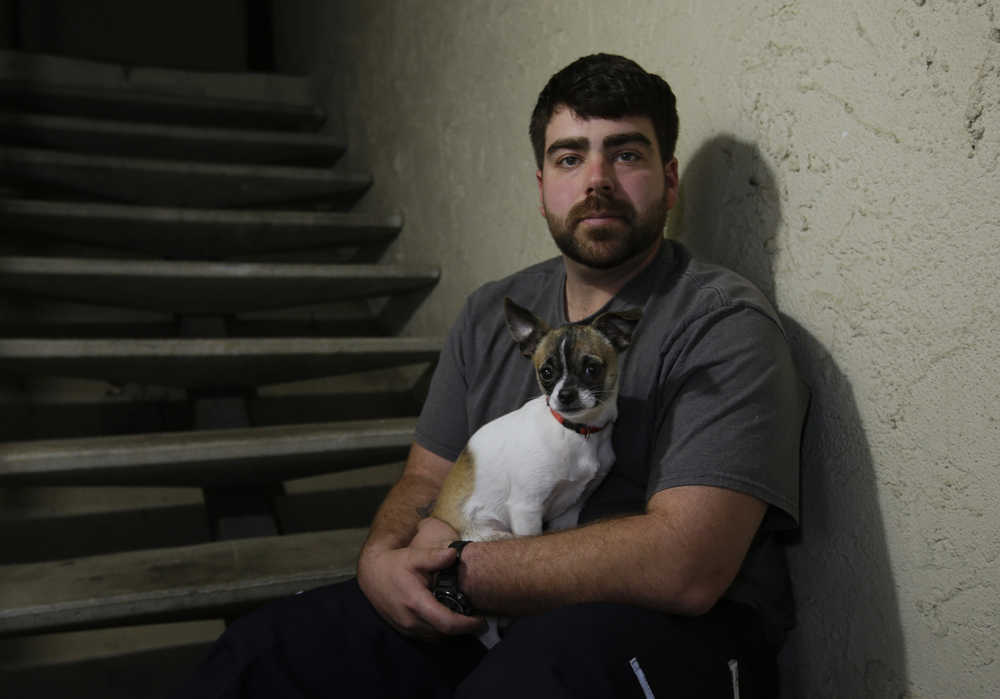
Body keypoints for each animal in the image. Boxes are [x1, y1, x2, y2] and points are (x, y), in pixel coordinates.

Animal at [432, 298, 640, 544]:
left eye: (592, 369)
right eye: (546, 373)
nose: (565, 395)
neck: (575, 431)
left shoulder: (570, 511)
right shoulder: (526, 509)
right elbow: (530, 534)